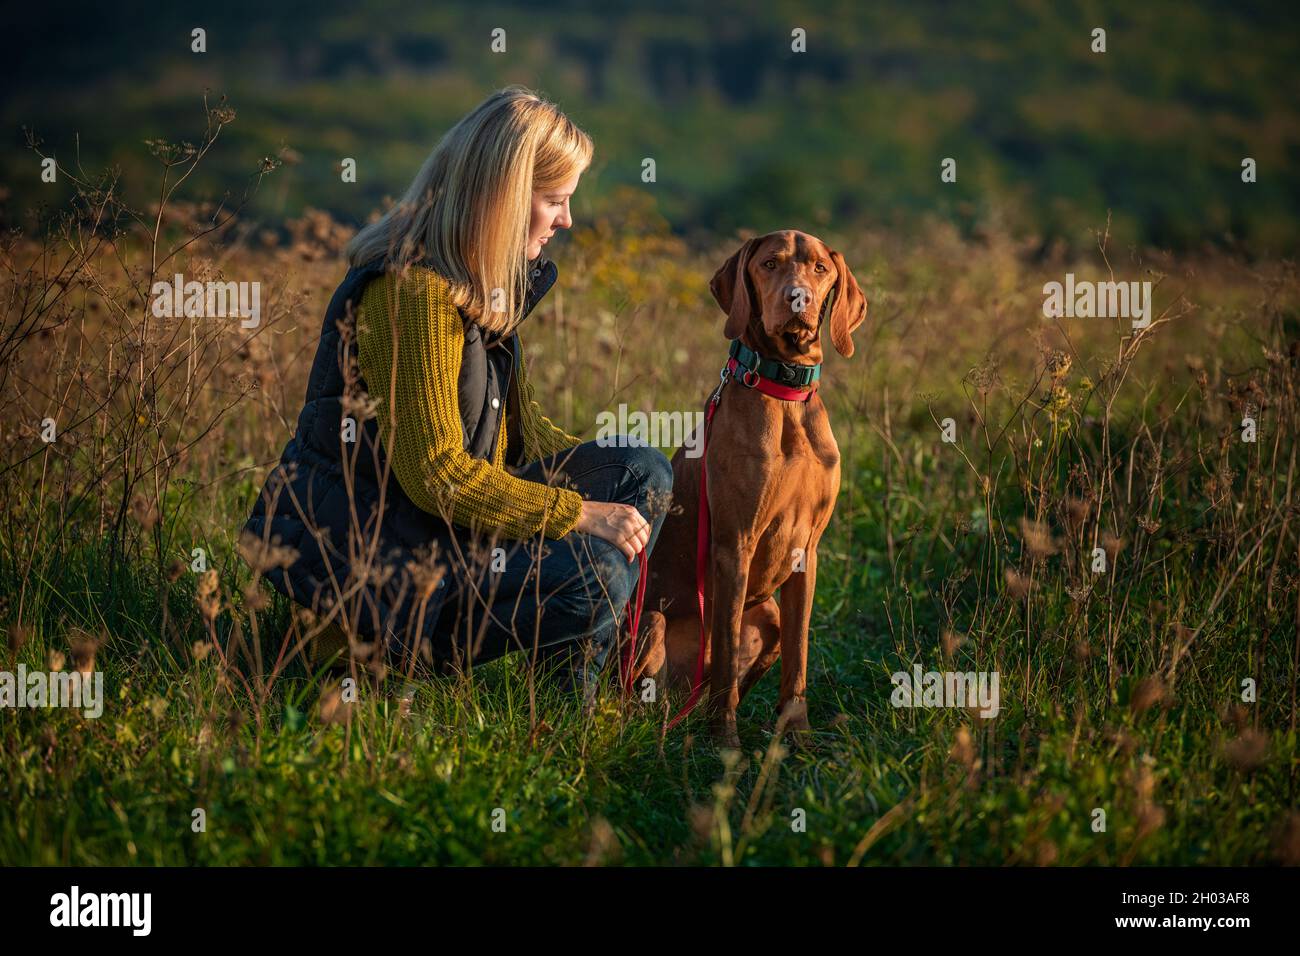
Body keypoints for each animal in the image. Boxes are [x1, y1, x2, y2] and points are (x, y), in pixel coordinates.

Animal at [626, 230, 868, 749]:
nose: (798, 298)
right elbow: (724, 648)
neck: (786, 392)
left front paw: (797, 734)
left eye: (820, 269)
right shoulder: (733, 544)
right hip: (650, 620)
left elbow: (798, 656)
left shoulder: (807, 550)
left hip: (768, 614)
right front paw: (726, 742)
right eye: (770, 264)